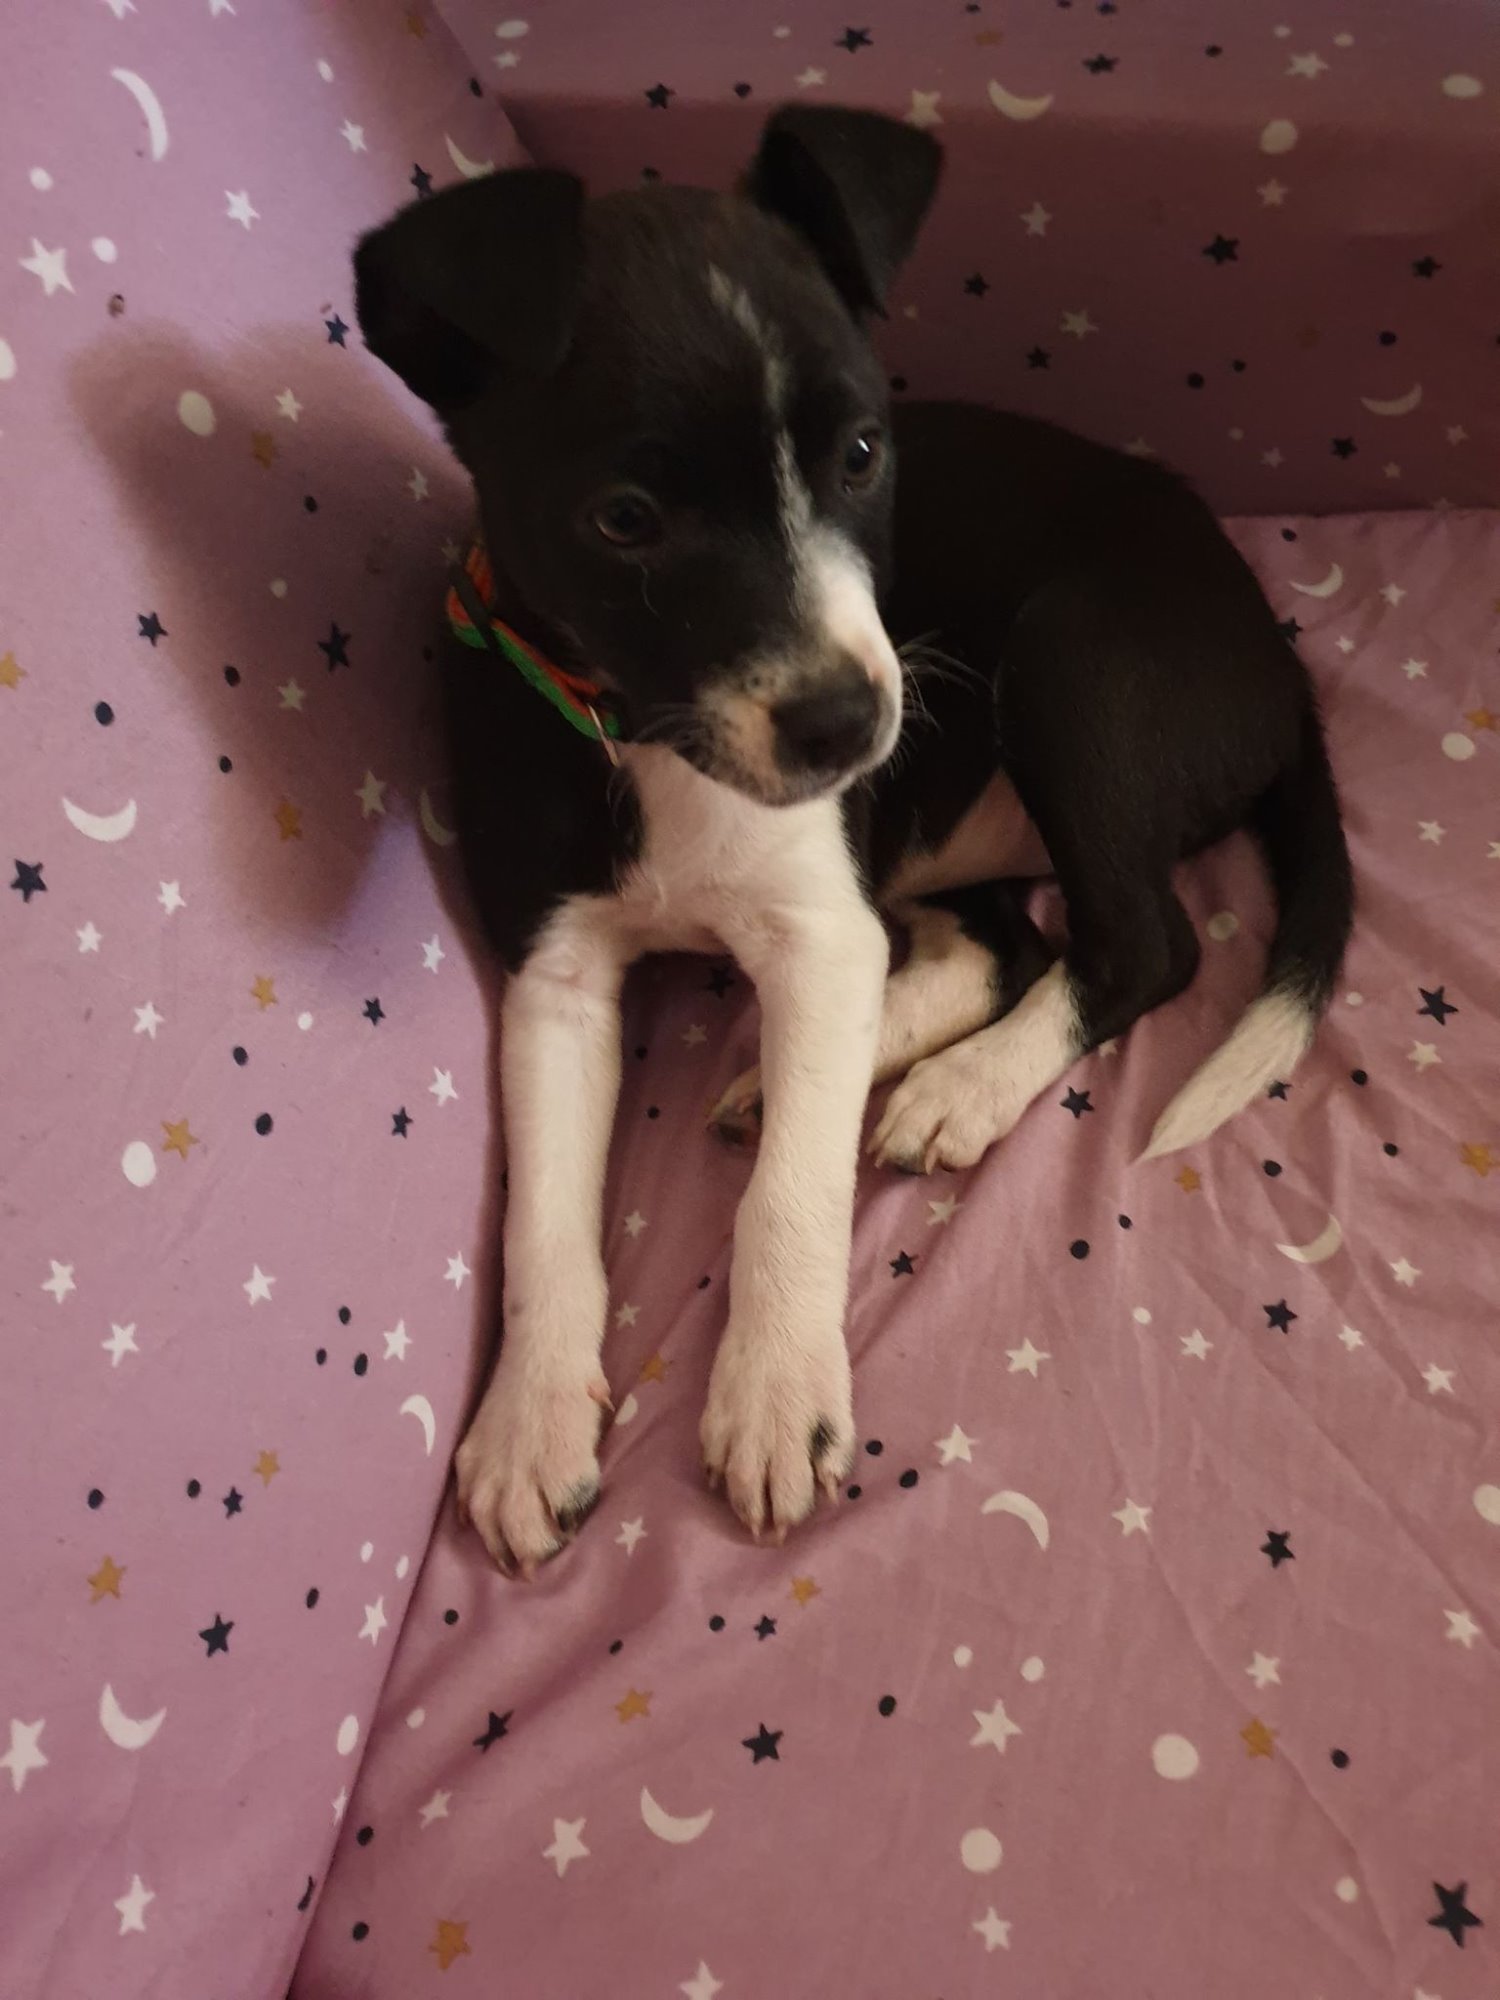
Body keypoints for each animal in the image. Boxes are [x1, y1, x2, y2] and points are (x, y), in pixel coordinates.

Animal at [353, 106, 1352, 1571]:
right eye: (623, 518)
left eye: (865, 455)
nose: (852, 723)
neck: (653, 739)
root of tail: (1281, 665)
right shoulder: (555, 976)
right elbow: (544, 1217)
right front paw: (529, 1417)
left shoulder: (820, 925)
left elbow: (793, 1193)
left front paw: (778, 1389)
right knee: (1004, 947)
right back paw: (834, 1071)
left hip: (1072, 660)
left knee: (1140, 945)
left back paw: (959, 1089)